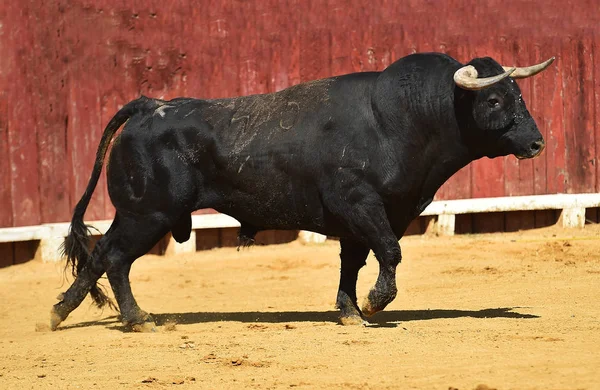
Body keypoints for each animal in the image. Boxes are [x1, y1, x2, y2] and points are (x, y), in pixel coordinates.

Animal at [50, 52, 552, 332]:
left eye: (520, 97)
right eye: (494, 100)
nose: (536, 143)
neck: (403, 119)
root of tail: (150, 105)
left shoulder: (369, 216)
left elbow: (353, 262)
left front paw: (350, 311)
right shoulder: (362, 205)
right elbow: (389, 251)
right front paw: (374, 304)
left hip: (135, 213)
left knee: (100, 254)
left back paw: (59, 313)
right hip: (148, 214)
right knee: (116, 258)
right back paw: (138, 320)